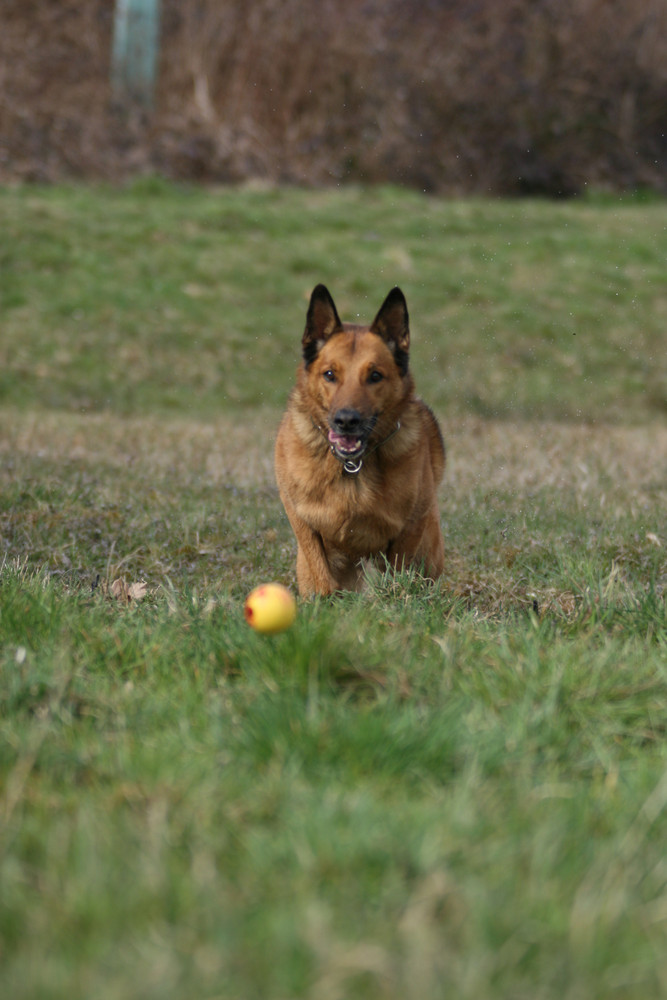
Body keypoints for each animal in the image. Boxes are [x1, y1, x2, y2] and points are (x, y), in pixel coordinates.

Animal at [274, 282, 446, 592]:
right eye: (330, 374)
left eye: (375, 375)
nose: (346, 421)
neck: (352, 465)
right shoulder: (302, 519)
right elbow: (320, 572)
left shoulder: (410, 527)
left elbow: (397, 573)